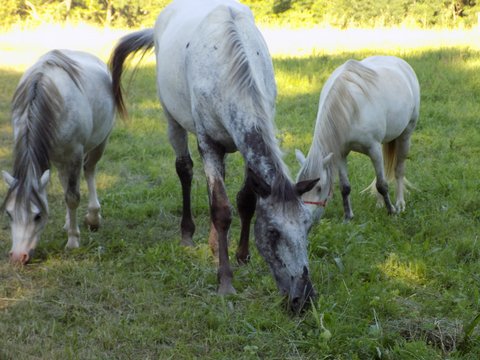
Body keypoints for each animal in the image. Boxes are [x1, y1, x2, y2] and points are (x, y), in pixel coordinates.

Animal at [1, 49, 120, 264]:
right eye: (9, 213)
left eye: (38, 216)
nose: (18, 256)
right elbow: (67, 190)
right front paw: (70, 228)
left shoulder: (74, 155)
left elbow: (72, 197)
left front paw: (73, 241)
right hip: (59, 157)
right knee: (65, 181)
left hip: (100, 142)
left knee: (89, 171)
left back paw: (93, 217)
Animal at [109, 0, 318, 312]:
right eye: (272, 232)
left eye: (307, 226)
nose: (303, 299)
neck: (227, 67)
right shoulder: (208, 143)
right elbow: (221, 209)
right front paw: (225, 282)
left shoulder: (243, 142)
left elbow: (244, 201)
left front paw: (242, 255)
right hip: (173, 120)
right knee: (184, 170)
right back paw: (188, 235)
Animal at [296, 55, 420, 221]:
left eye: (319, 188)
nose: (305, 218)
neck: (350, 106)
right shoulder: (340, 153)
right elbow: (345, 187)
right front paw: (348, 216)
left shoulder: (373, 148)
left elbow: (382, 184)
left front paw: (391, 211)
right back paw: (379, 204)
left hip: (405, 136)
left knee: (398, 170)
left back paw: (400, 203)